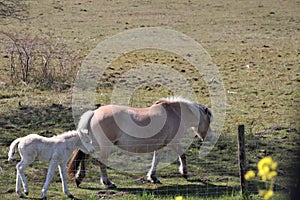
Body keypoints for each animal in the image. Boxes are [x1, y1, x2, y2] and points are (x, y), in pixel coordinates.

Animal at [68, 96, 213, 188]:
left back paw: (79, 178)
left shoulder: (160, 146)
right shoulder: (173, 143)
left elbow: (156, 160)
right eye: (209, 120)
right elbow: (182, 155)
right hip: (105, 146)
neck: (174, 114)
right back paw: (108, 183)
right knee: (101, 163)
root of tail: (94, 113)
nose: (209, 137)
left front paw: (153, 177)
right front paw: (184, 172)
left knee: (84, 157)